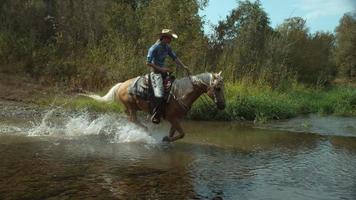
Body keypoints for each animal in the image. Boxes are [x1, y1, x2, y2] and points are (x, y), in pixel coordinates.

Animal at [80, 72, 225, 142]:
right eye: (217, 88)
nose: (223, 105)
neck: (181, 93)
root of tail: (121, 84)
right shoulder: (172, 118)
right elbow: (182, 133)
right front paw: (165, 139)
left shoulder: (177, 118)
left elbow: (176, 133)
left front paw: (166, 139)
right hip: (131, 107)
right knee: (133, 119)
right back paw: (146, 131)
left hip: (130, 108)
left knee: (129, 118)